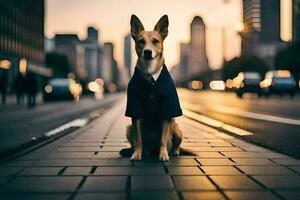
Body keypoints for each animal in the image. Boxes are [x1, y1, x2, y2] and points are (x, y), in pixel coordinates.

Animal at [123, 14, 183, 161]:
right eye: (141, 41)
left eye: (155, 41)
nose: (147, 52)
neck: (150, 72)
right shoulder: (135, 109)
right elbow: (138, 139)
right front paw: (137, 153)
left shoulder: (166, 109)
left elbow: (163, 139)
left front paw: (163, 154)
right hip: (128, 128)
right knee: (139, 142)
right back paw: (144, 151)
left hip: (178, 130)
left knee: (174, 144)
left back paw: (174, 151)